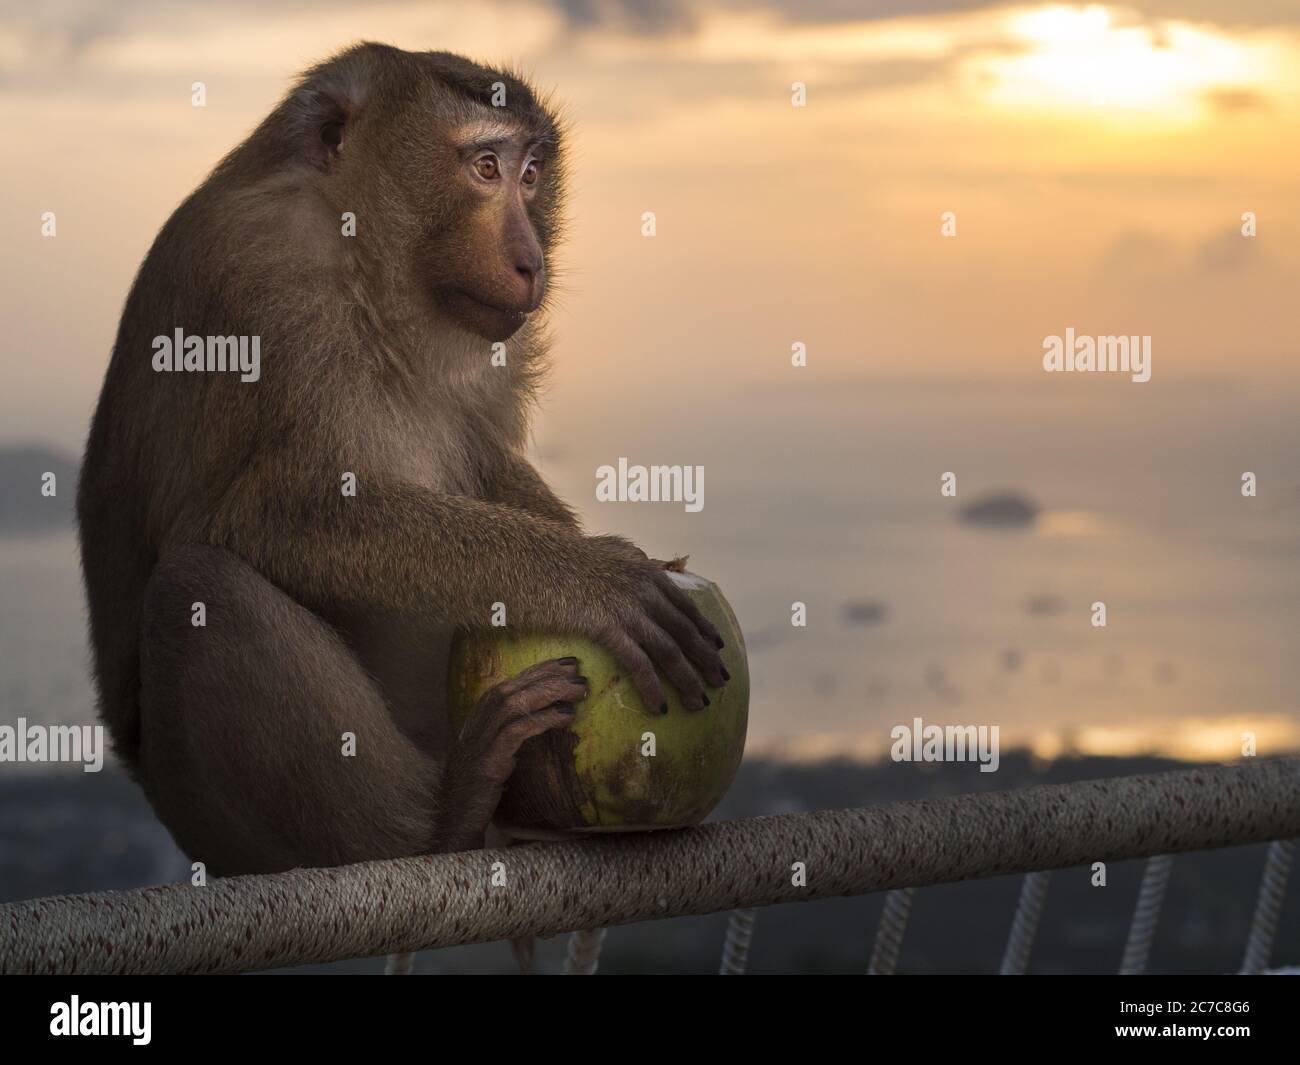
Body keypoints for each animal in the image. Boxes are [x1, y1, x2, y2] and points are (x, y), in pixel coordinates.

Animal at [76, 43, 728, 884]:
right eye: (484, 166)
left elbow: (483, 459)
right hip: (217, 824)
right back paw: (444, 821)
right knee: (201, 589)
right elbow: (264, 511)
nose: (532, 260)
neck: (363, 266)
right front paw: (593, 579)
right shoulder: (258, 277)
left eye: (531, 175)